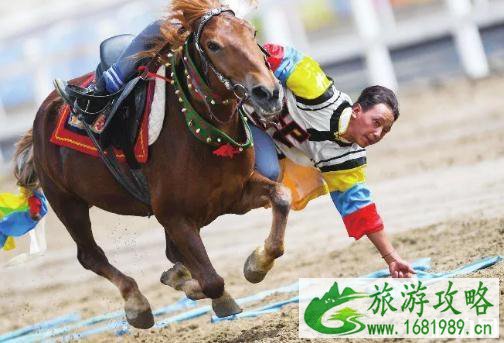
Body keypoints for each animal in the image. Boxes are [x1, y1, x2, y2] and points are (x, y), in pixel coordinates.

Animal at [13, 0, 294, 330]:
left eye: (252, 33)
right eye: (213, 45)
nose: (269, 93)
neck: (198, 131)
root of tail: (44, 110)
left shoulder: (235, 195)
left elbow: (282, 198)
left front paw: (256, 263)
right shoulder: (175, 216)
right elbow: (212, 281)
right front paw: (209, 292)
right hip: (66, 201)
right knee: (90, 255)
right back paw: (137, 304)